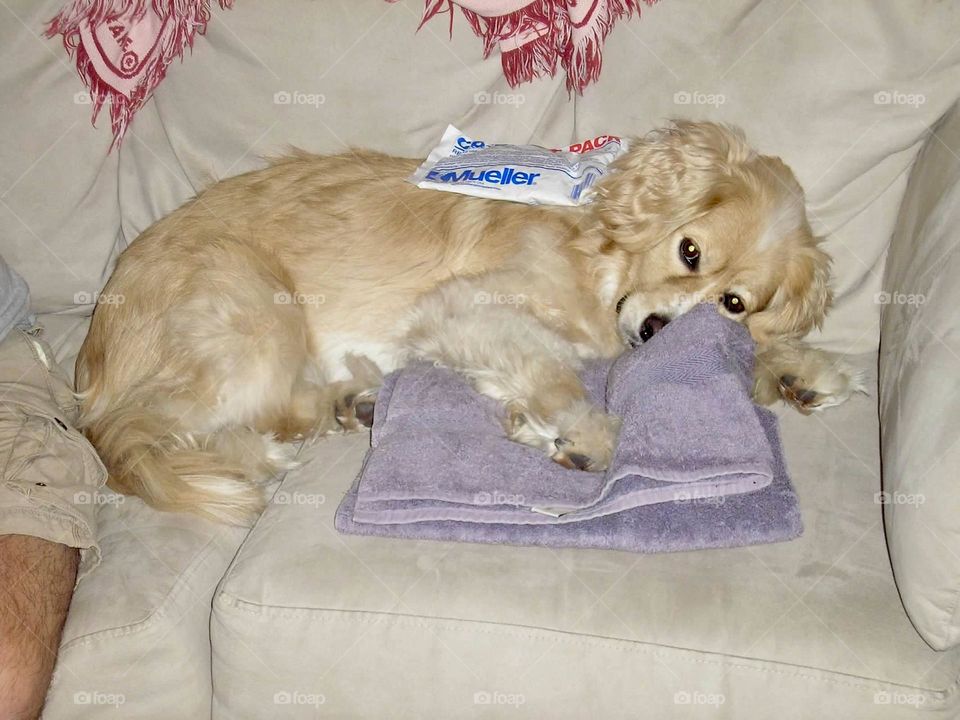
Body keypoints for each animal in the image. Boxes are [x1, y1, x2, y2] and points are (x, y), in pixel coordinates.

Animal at [79, 121, 868, 520]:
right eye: (690, 250)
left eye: (734, 302)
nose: (655, 332)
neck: (600, 254)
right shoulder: (462, 308)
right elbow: (552, 371)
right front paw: (583, 435)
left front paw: (801, 370)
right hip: (254, 318)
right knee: (142, 429)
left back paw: (354, 402)